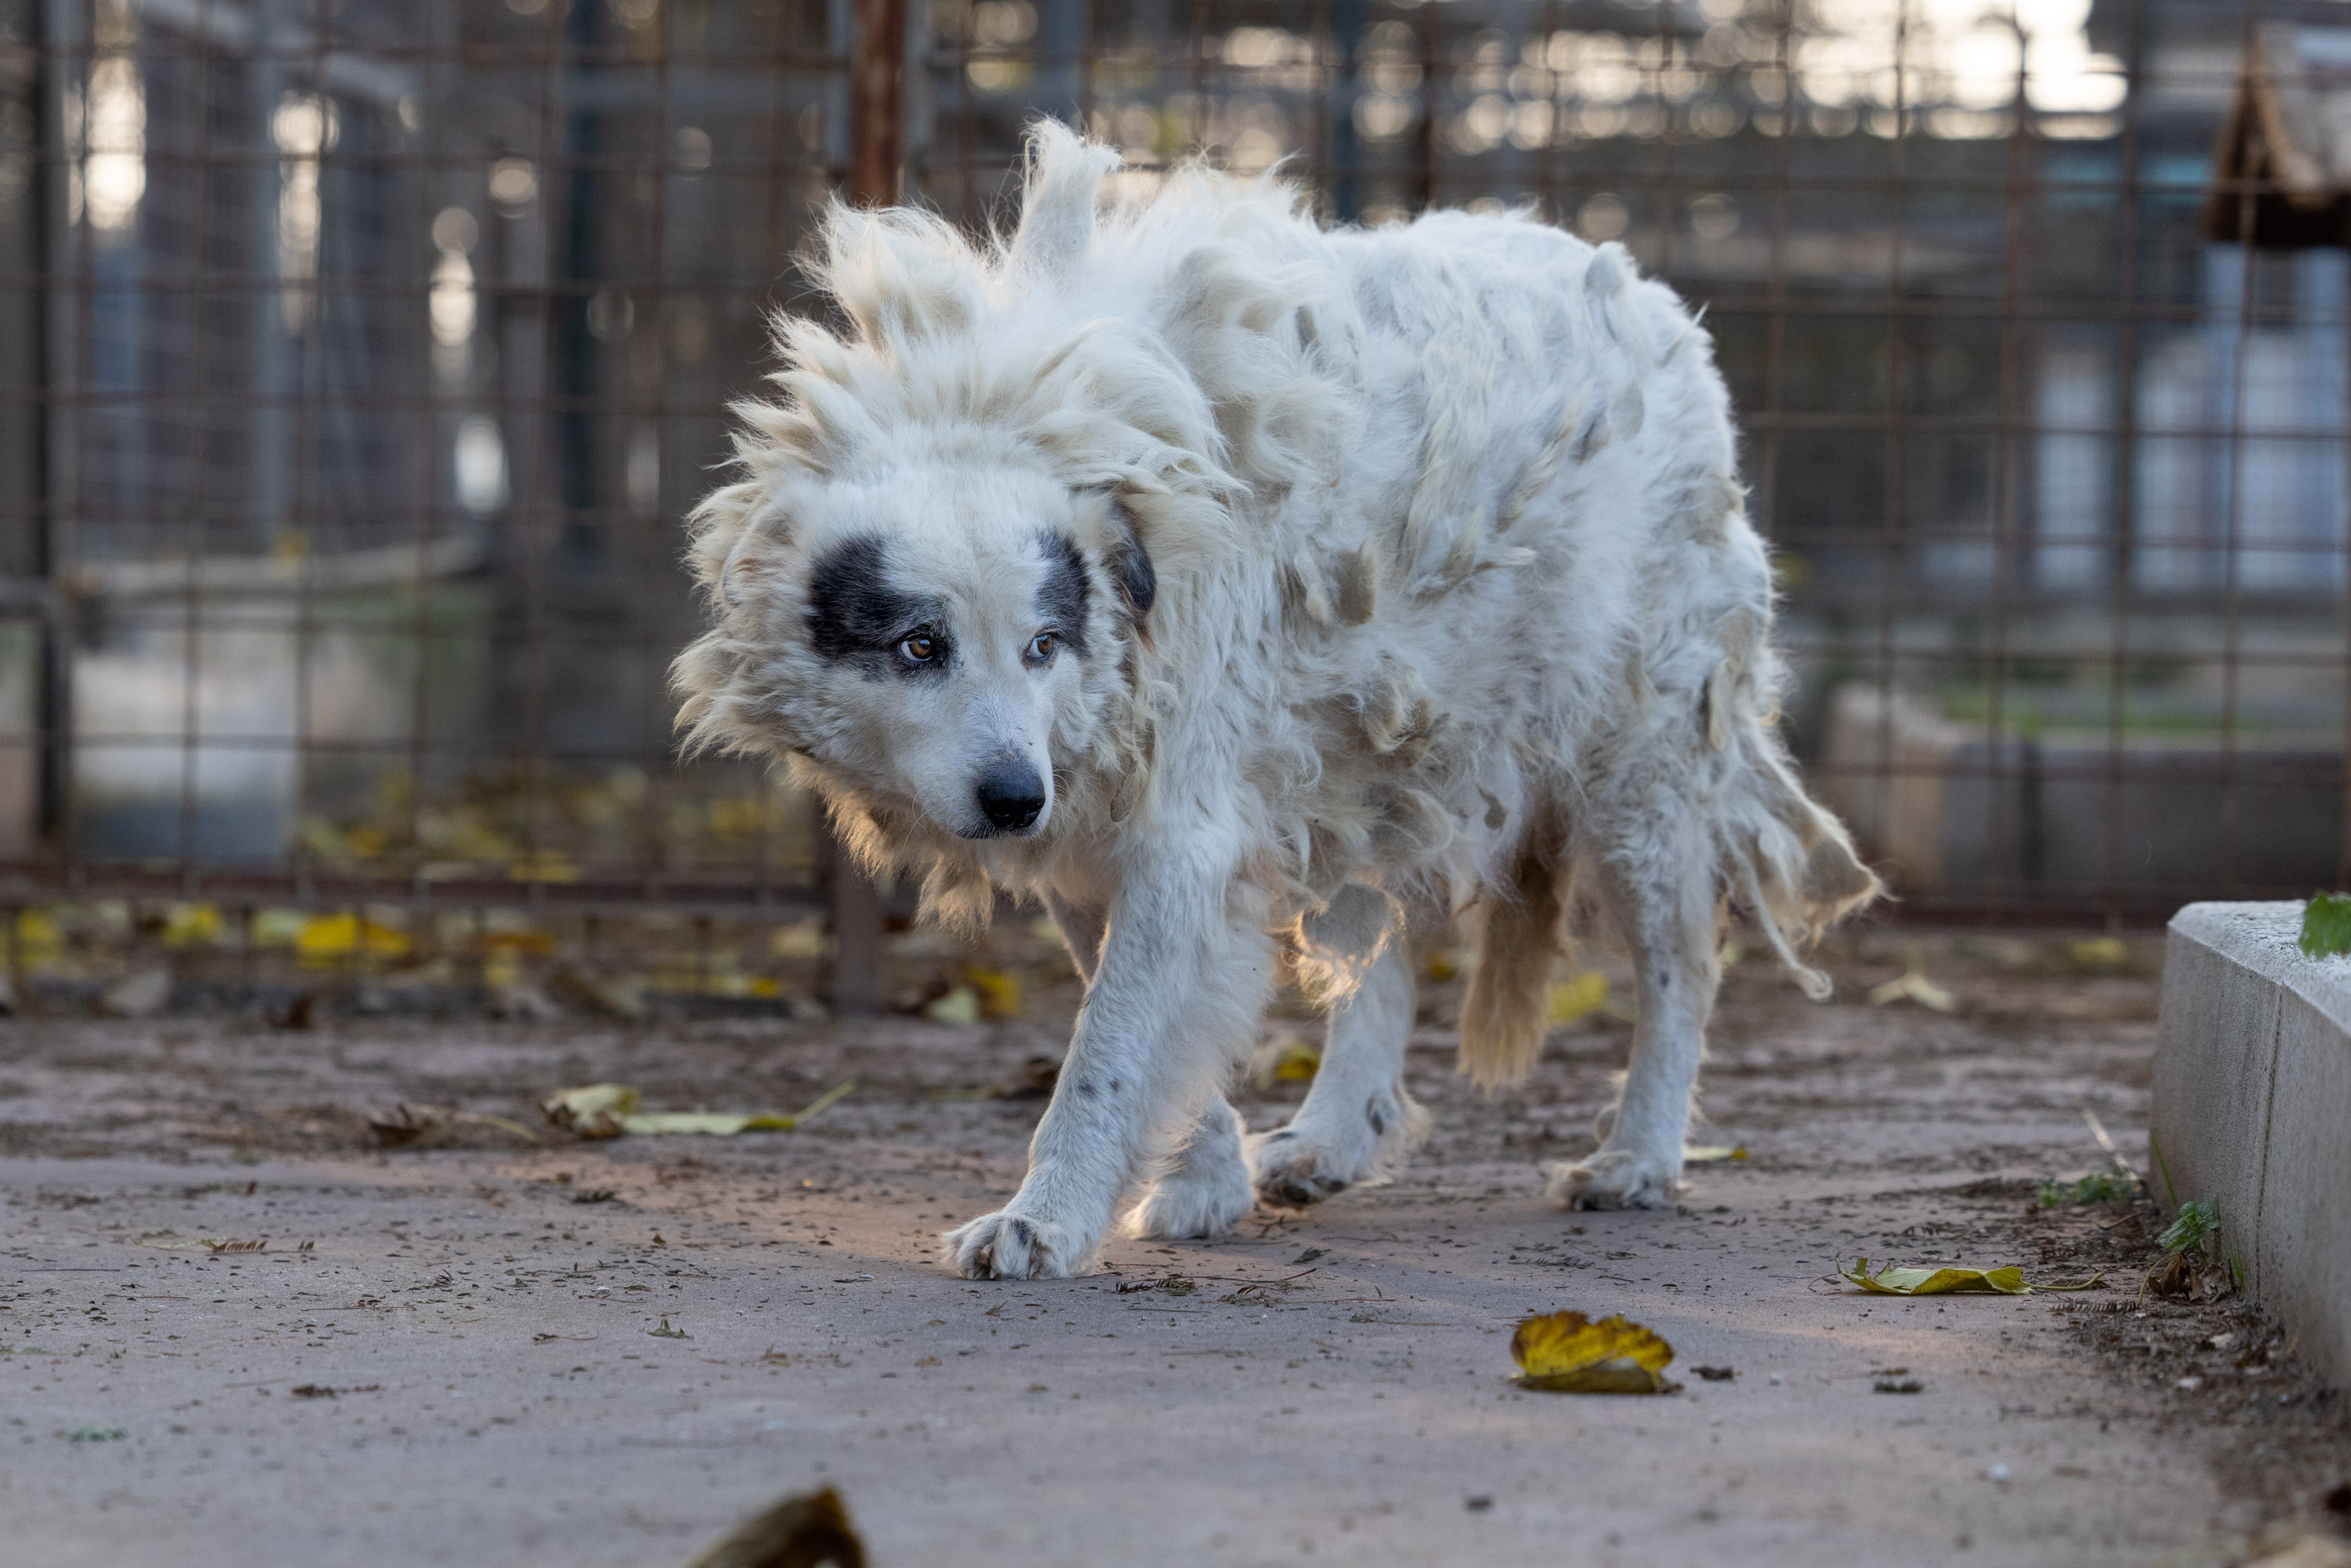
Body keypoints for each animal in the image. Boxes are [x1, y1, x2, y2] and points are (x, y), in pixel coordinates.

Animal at [672, 123, 1881, 1281]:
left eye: (1043, 645)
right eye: (921, 646)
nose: (1015, 800)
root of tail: (1643, 293)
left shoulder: (1173, 827)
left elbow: (1105, 1057)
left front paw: (1044, 1222)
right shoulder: (1104, 828)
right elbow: (1149, 1033)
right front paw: (1207, 1182)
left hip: (1635, 776)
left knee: (1681, 968)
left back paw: (1637, 1156)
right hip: (1369, 750)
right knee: (1383, 961)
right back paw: (1338, 1136)